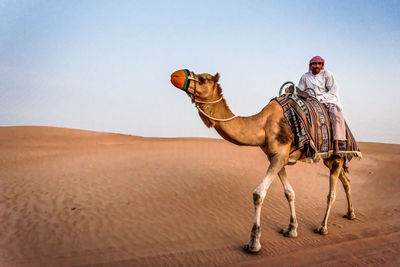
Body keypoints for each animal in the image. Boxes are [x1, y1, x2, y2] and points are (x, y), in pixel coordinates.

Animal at [169, 70, 356, 254]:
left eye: (202, 78)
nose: (175, 75)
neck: (263, 125)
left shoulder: (279, 156)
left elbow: (258, 194)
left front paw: (254, 243)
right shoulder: (276, 157)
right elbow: (289, 193)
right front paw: (291, 229)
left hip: (337, 155)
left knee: (331, 193)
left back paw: (323, 227)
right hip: (329, 159)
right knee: (346, 180)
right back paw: (351, 213)